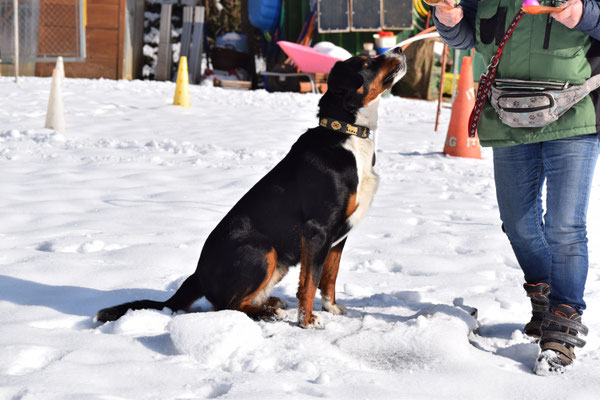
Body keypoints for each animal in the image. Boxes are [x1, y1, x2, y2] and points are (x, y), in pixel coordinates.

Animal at [97, 47, 408, 328]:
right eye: (366, 62)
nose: (400, 49)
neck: (346, 135)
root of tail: (198, 275)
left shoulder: (338, 235)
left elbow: (328, 277)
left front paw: (331, 308)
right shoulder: (317, 230)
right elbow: (310, 282)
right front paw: (307, 321)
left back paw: (272, 303)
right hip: (262, 251)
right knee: (228, 306)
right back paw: (269, 312)